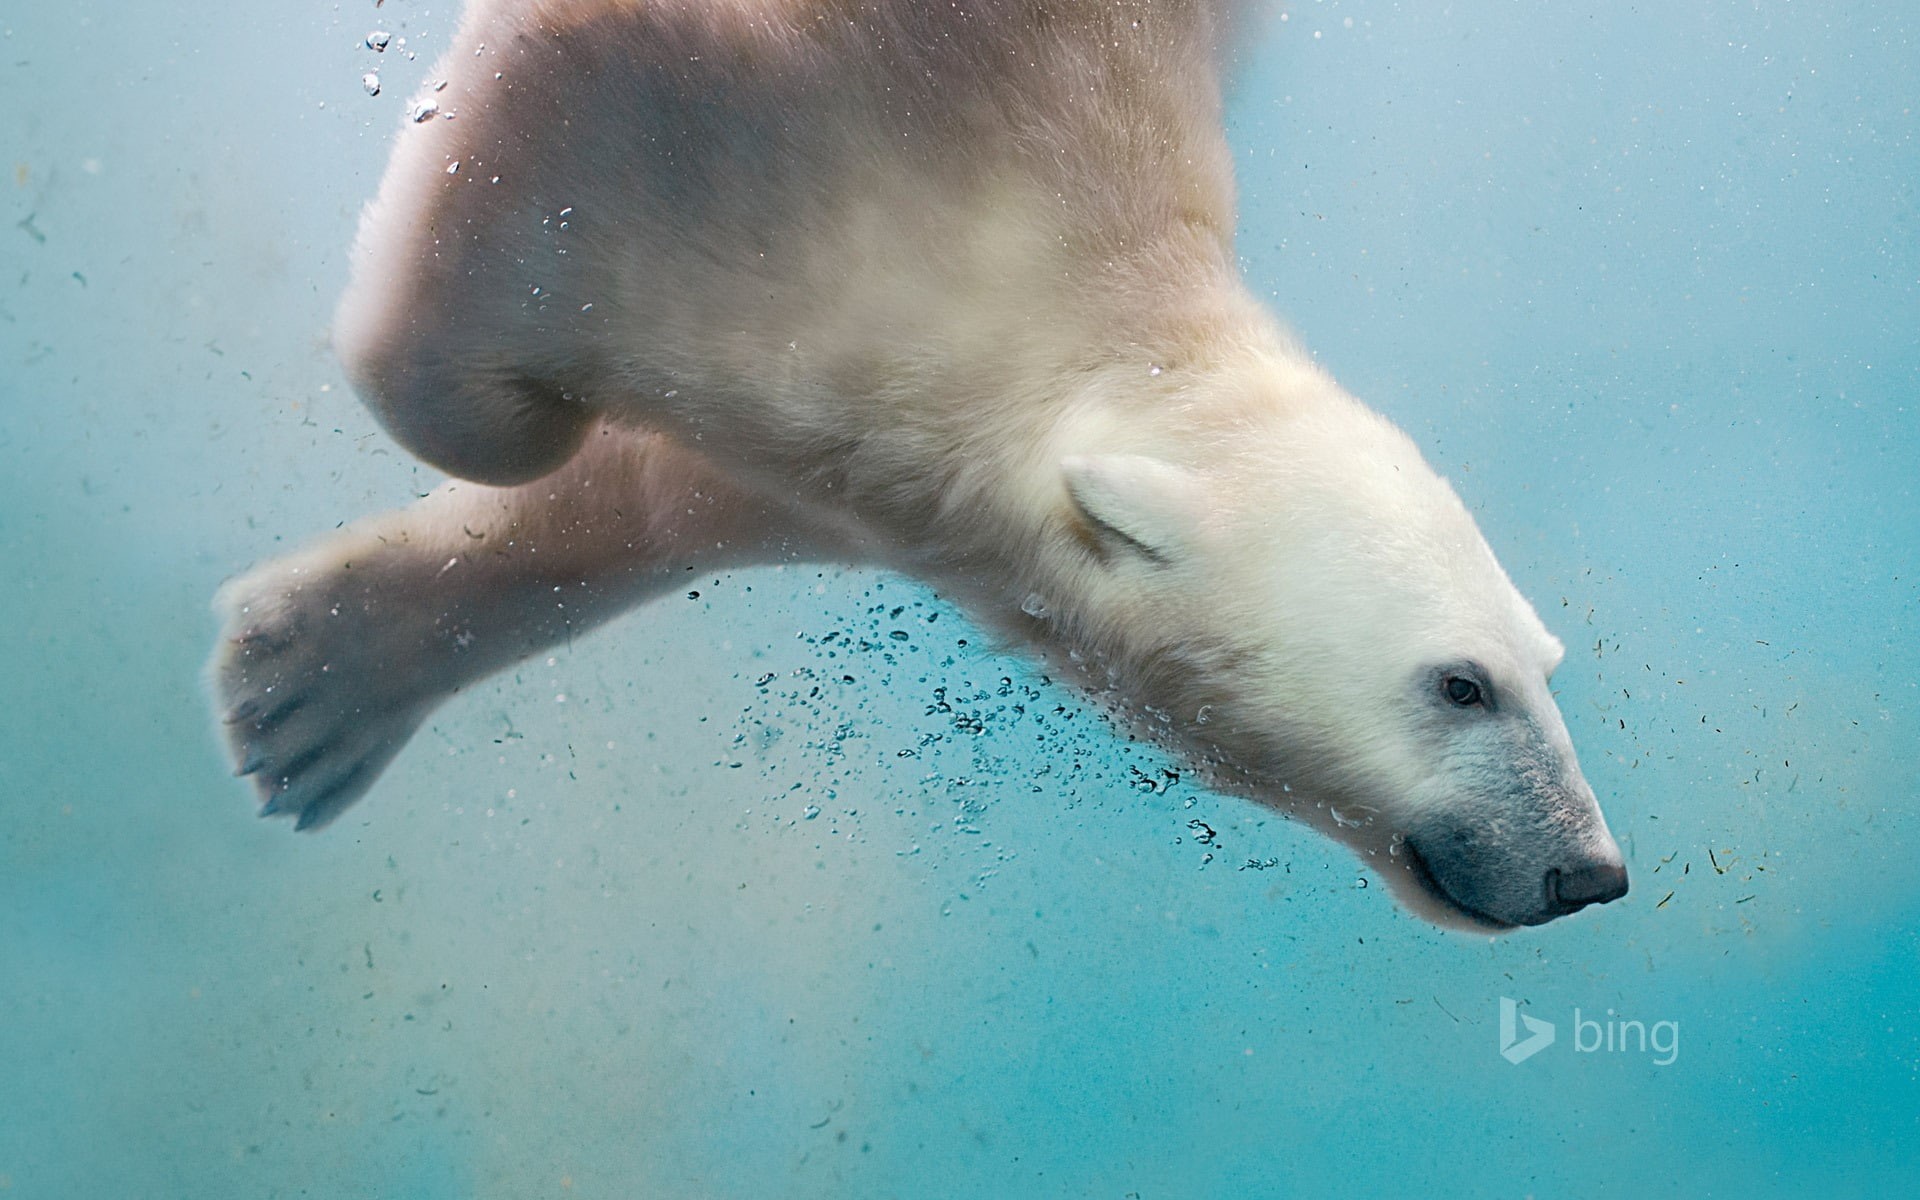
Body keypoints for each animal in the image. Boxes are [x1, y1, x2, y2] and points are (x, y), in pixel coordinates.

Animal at [210, 0, 1627, 931]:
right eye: (1460, 685)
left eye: (1544, 664)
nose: (1591, 873)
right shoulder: (748, 119)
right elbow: (500, 369)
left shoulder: (868, 444)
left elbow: (678, 489)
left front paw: (307, 689)